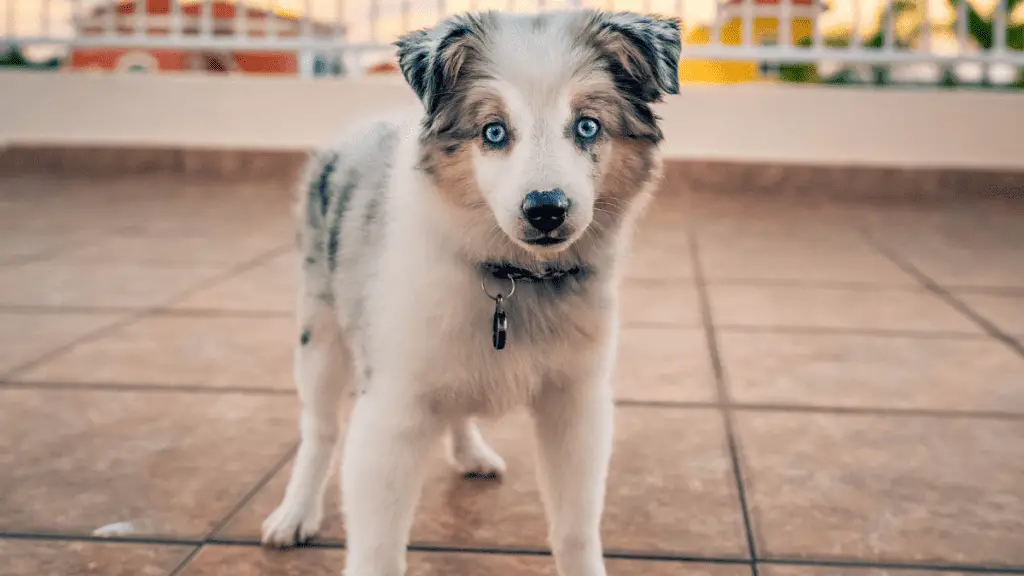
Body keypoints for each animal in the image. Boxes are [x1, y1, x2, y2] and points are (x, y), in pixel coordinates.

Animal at [262, 10, 679, 573]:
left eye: (588, 125)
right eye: (494, 131)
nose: (546, 209)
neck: (512, 275)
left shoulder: (576, 398)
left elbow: (575, 526)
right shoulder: (393, 404)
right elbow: (377, 546)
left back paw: (470, 453)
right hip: (321, 333)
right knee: (320, 429)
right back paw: (295, 513)